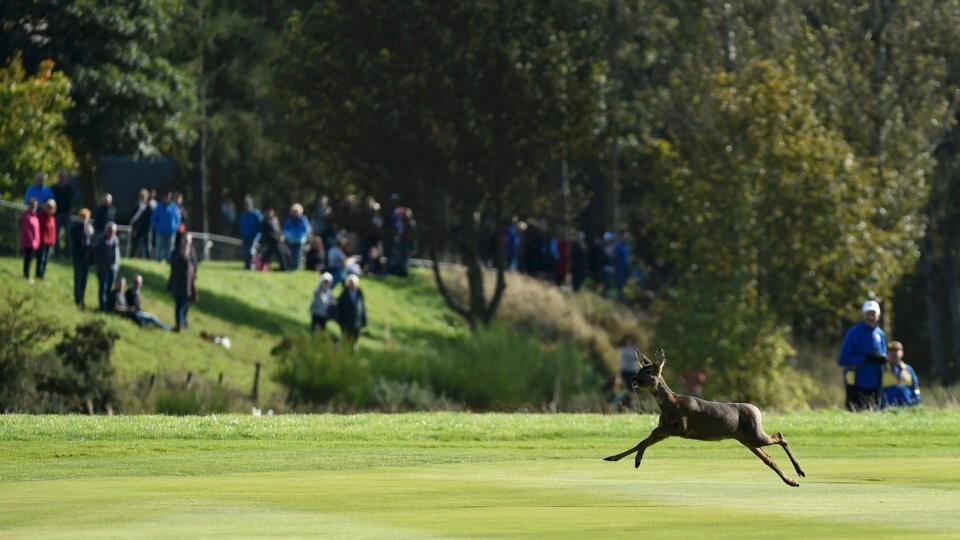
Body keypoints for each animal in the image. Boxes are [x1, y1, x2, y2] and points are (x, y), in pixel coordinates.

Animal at [604, 348, 806, 487]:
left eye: (648, 372)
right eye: (640, 370)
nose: (633, 380)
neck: (670, 404)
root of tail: (756, 410)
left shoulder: (682, 427)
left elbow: (651, 433)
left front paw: (636, 460)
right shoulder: (667, 431)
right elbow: (643, 440)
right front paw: (614, 457)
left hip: (754, 434)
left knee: (780, 436)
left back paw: (800, 472)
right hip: (748, 440)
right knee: (769, 458)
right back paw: (792, 481)